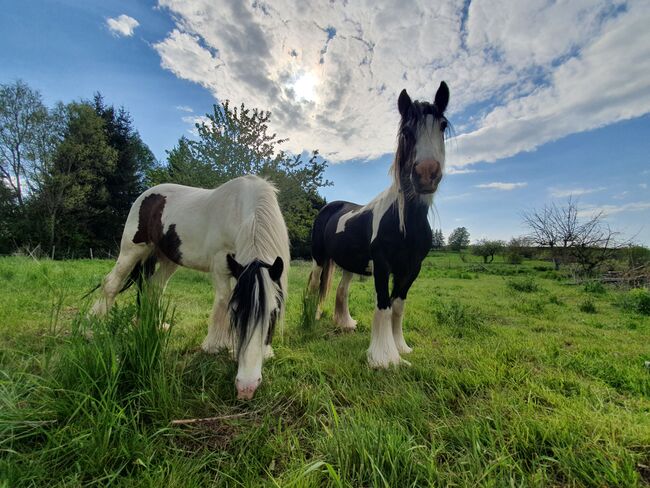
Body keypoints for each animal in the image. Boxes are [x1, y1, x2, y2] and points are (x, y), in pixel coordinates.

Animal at [90, 175, 288, 400]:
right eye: (236, 312)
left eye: (274, 313)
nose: (246, 387)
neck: (244, 209)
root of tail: (147, 195)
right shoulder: (221, 263)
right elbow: (223, 299)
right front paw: (216, 345)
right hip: (132, 249)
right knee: (111, 283)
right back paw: (95, 325)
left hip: (167, 258)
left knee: (154, 288)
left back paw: (153, 326)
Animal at [306, 82, 448, 368]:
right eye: (406, 131)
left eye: (443, 125)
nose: (426, 174)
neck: (406, 222)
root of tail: (329, 206)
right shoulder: (383, 264)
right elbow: (383, 304)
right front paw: (384, 358)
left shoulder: (412, 268)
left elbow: (397, 305)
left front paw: (401, 347)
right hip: (319, 257)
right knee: (316, 285)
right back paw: (311, 320)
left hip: (349, 263)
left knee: (341, 290)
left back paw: (345, 323)